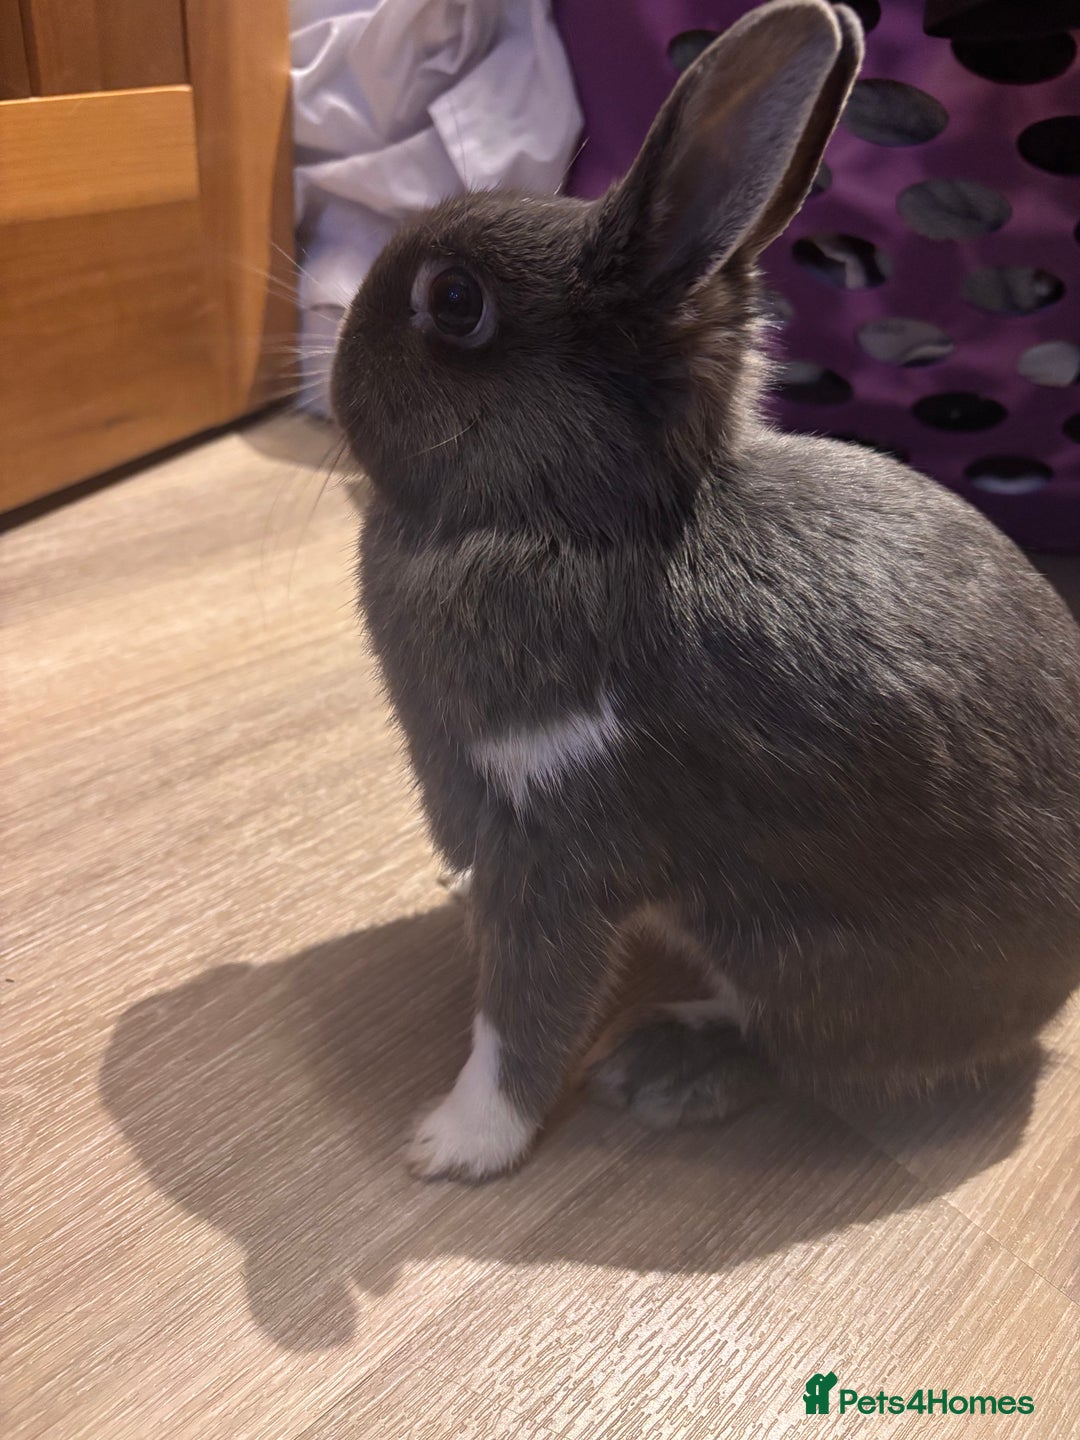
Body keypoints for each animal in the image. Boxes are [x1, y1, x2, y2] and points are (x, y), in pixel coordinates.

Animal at [331, 0, 1080, 1182]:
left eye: (454, 302)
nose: (331, 358)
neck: (576, 519)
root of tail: (1051, 1011)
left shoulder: (562, 837)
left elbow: (521, 1012)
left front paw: (453, 1145)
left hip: (798, 956)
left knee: (794, 1048)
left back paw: (665, 1063)